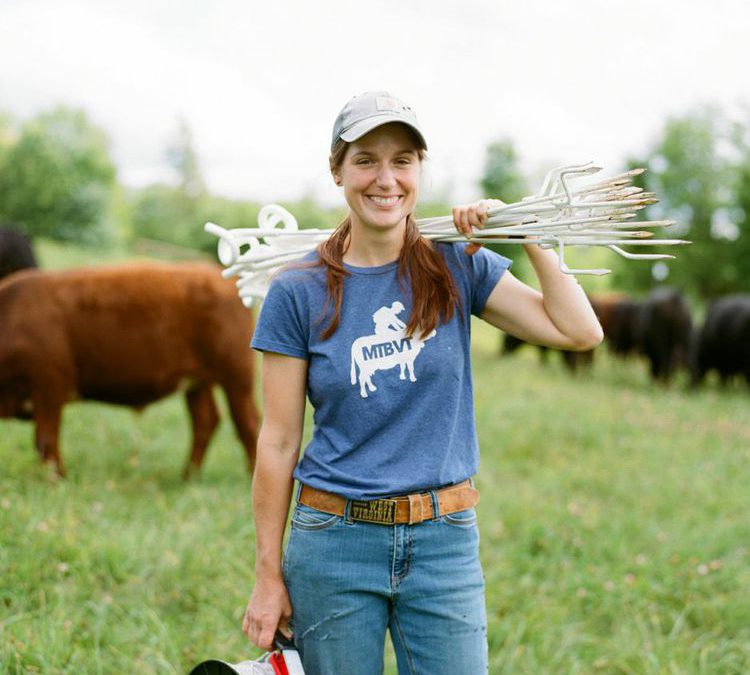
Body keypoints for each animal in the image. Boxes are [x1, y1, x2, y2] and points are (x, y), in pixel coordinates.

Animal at [0, 262, 258, 478]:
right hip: (198, 381)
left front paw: (57, 480)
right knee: (205, 423)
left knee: (248, 424)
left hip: (237, 376)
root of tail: (212, 271)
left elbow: (45, 439)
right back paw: (187, 477)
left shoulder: (50, 383)